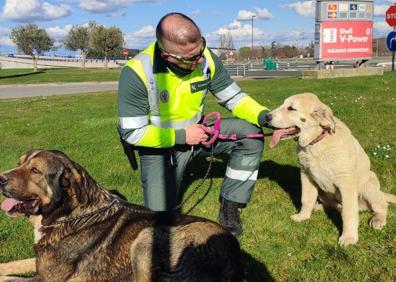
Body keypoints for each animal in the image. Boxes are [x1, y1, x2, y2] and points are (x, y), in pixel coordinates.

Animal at [0, 150, 244, 280]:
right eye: (19, 163)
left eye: (35, 171)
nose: (0, 178)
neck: (68, 215)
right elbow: (14, 264)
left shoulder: (48, 278)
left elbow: (12, 279)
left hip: (146, 239)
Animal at [266, 93, 396, 247]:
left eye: (291, 108)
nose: (266, 117)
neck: (316, 142)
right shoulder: (305, 174)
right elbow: (306, 199)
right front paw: (303, 216)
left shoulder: (346, 182)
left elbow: (349, 212)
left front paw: (349, 237)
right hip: (323, 191)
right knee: (334, 205)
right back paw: (318, 207)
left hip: (369, 184)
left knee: (381, 205)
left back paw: (378, 219)